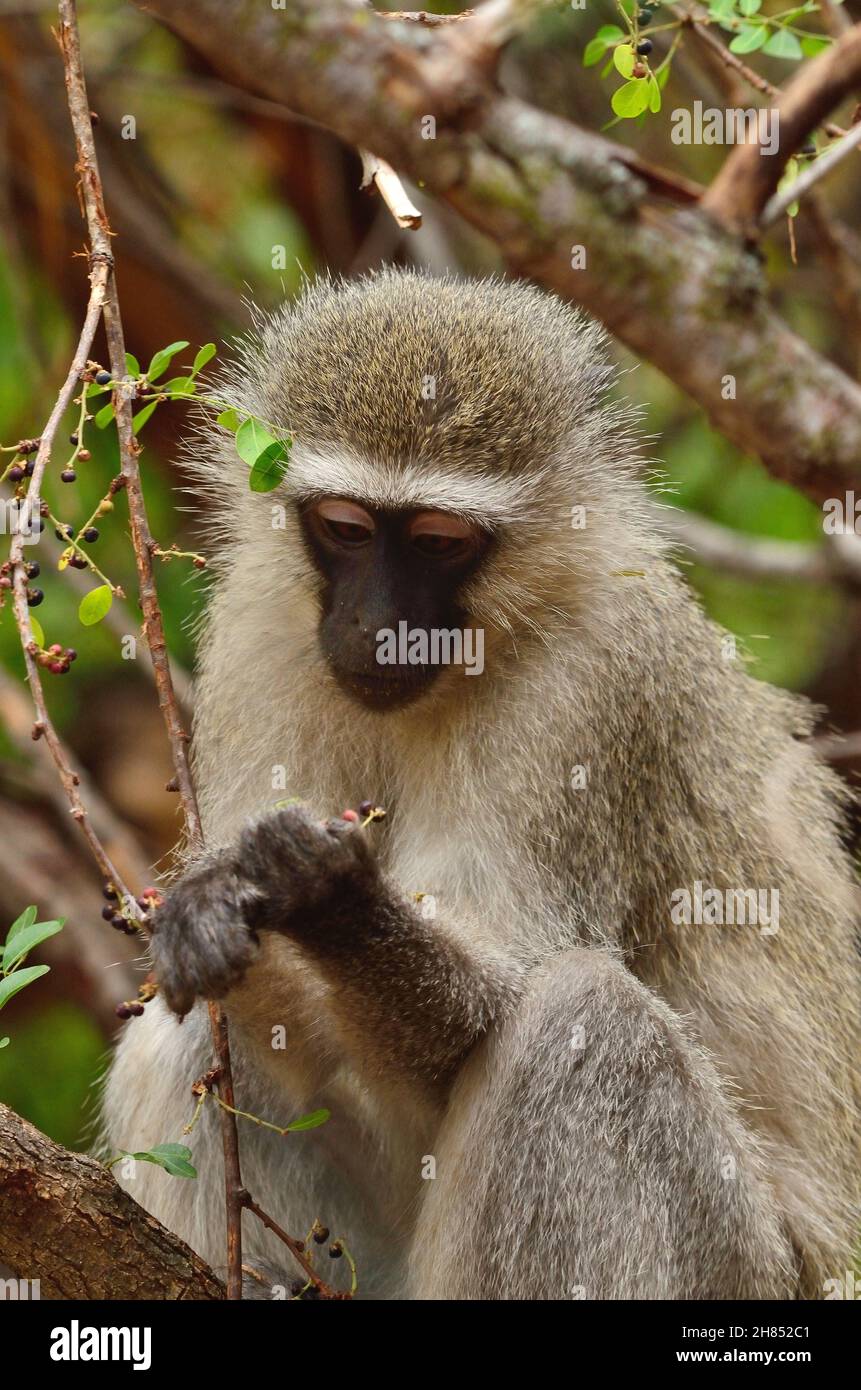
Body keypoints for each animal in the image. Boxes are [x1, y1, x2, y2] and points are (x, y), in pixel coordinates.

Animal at [104, 271, 856, 1301]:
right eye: (344, 530)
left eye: (439, 540)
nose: (377, 624)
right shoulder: (260, 633)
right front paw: (212, 901)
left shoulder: (590, 686)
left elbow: (486, 1015)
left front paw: (330, 898)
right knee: (187, 1026)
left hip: (746, 1269)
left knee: (588, 1023)